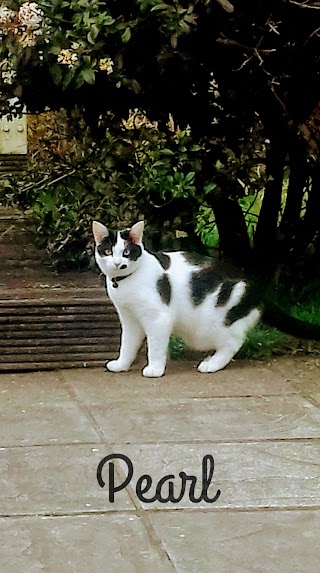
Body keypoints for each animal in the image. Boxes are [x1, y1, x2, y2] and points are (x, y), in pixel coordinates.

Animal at [92, 219, 320, 376]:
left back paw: (212, 364)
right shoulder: (129, 319)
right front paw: (122, 364)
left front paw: (155, 369)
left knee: (233, 342)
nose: (118, 264)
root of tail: (256, 288)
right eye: (108, 252)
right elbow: (127, 344)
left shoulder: (158, 318)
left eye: (127, 252)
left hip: (217, 322)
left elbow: (155, 346)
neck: (125, 282)